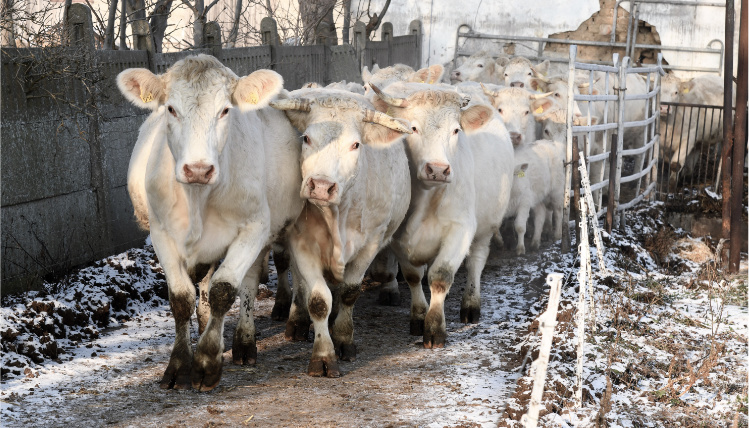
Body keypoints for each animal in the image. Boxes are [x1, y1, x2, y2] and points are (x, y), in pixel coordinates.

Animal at [118, 55, 302, 392]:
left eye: (225, 110)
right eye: (170, 109)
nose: (198, 169)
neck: (197, 200)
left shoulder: (253, 229)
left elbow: (224, 291)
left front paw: (206, 362)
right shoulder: (161, 234)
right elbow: (181, 298)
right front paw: (179, 363)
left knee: (252, 281)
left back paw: (247, 341)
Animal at [268, 88, 410, 376]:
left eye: (355, 145)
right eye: (306, 138)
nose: (321, 186)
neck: (336, 217)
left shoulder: (371, 243)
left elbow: (349, 292)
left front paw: (344, 338)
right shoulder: (301, 244)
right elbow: (318, 300)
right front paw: (323, 355)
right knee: (300, 284)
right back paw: (298, 321)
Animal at [370, 82, 512, 346]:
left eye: (456, 130)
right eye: (413, 128)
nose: (438, 169)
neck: (426, 199)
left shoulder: (461, 228)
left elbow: (440, 276)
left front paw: (435, 328)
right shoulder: (398, 236)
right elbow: (413, 276)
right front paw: (418, 317)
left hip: (485, 227)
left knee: (476, 262)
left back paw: (471, 305)